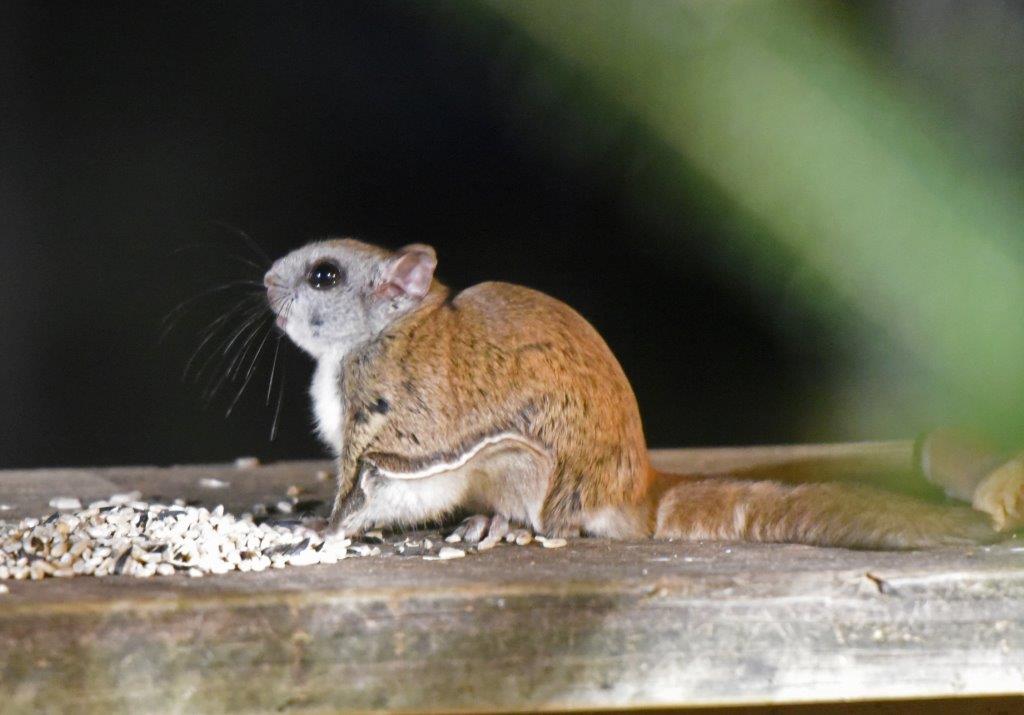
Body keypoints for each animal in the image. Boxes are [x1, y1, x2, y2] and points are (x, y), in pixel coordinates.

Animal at [264, 239, 1022, 549]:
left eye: (325, 274)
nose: (268, 283)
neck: (366, 341)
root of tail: (635, 488)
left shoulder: (389, 420)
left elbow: (363, 488)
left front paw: (319, 528)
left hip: (529, 470)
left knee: (553, 523)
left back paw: (507, 526)